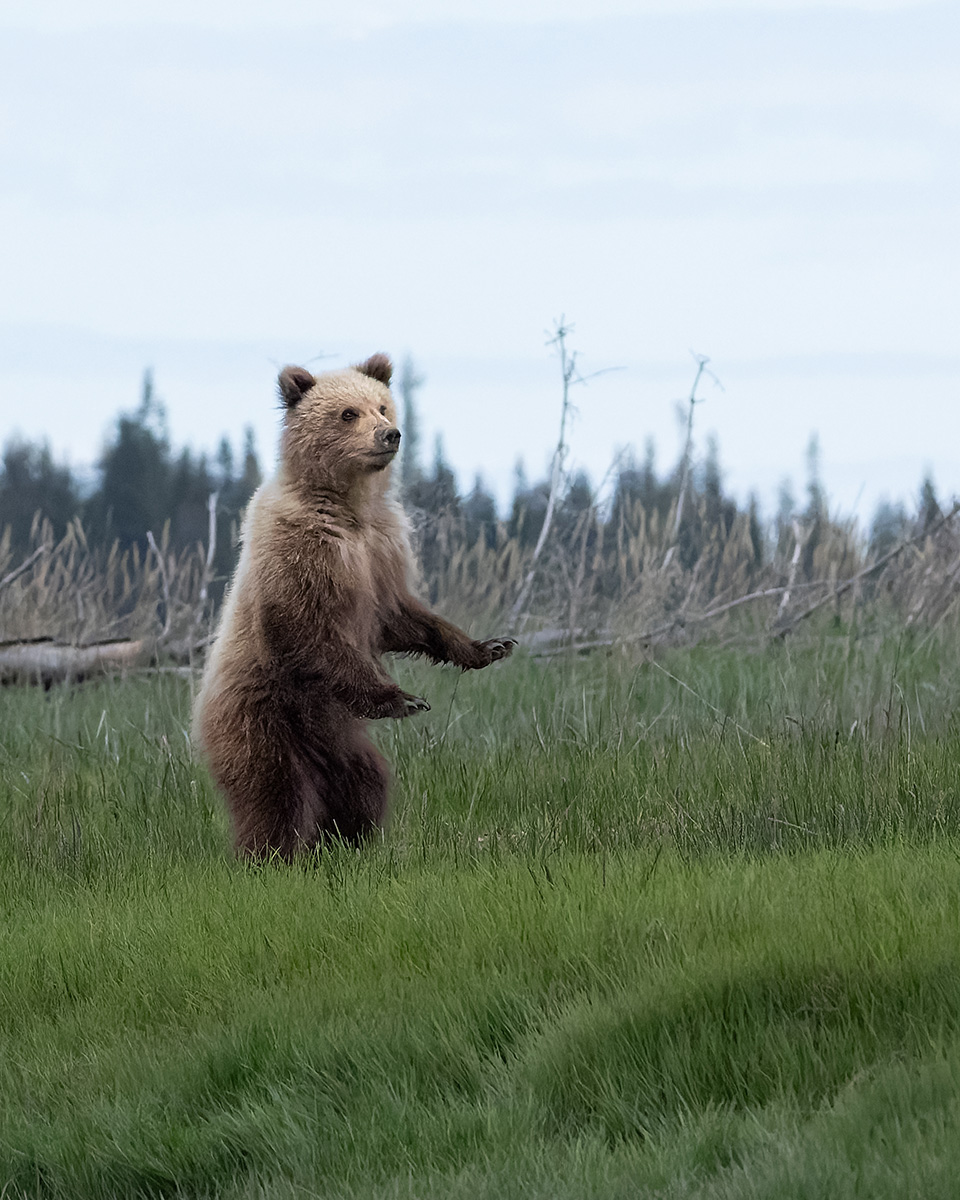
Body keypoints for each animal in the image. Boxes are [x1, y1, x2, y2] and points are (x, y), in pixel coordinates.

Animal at [192, 353, 515, 859]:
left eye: (382, 405)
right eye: (347, 413)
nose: (390, 434)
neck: (350, 508)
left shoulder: (381, 552)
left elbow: (401, 616)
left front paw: (489, 646)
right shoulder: (301, 554)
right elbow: (308, 631)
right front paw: (403, 698)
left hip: (338, 736)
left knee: (364, 781)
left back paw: (351, 841)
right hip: (261, 714)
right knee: (273, 790)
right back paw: (272, 854)